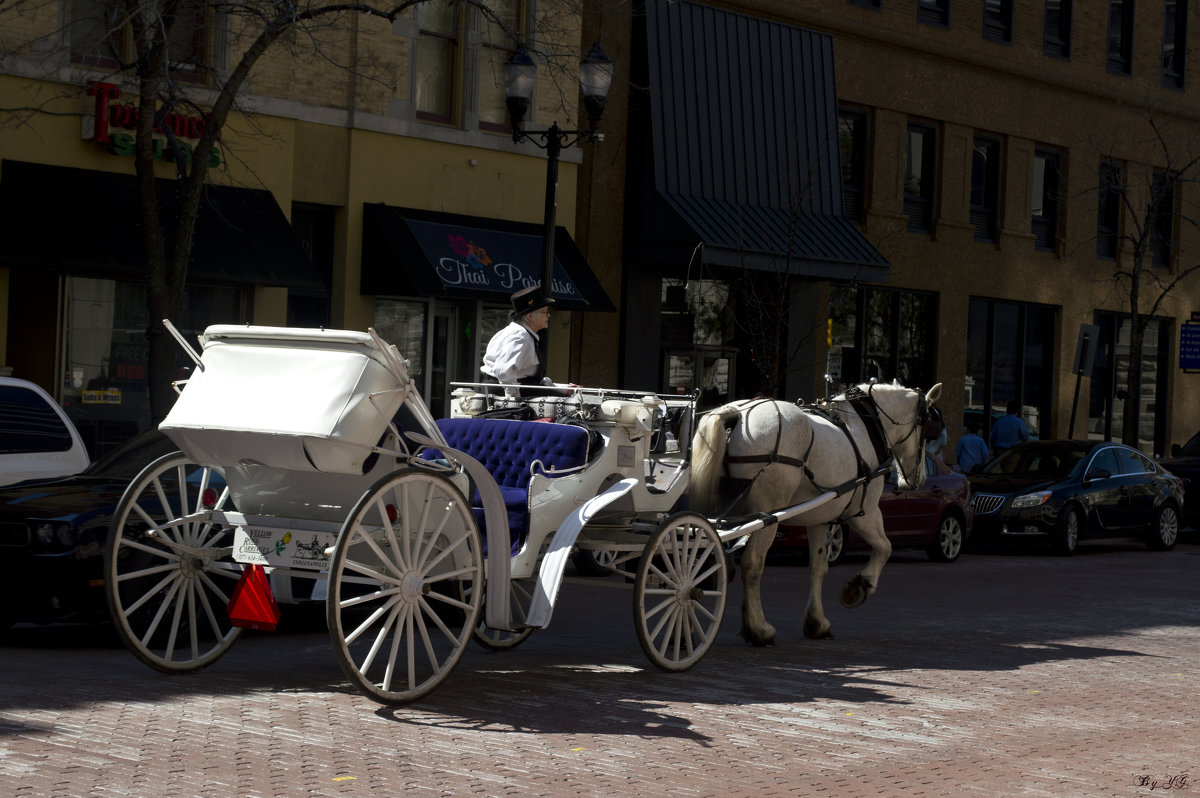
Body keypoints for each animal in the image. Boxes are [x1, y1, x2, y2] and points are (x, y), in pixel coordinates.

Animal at [691, 384, 940, 643]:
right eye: (927, 429)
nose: (918, 480)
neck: (865, 425)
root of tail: (735, 414)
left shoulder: (820, 518)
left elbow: (819, 568)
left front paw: (817, 622)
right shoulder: (866, 512)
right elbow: (885, 547)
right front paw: (859, 587)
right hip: (767, 513)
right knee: (752, 563)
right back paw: (758, 628)